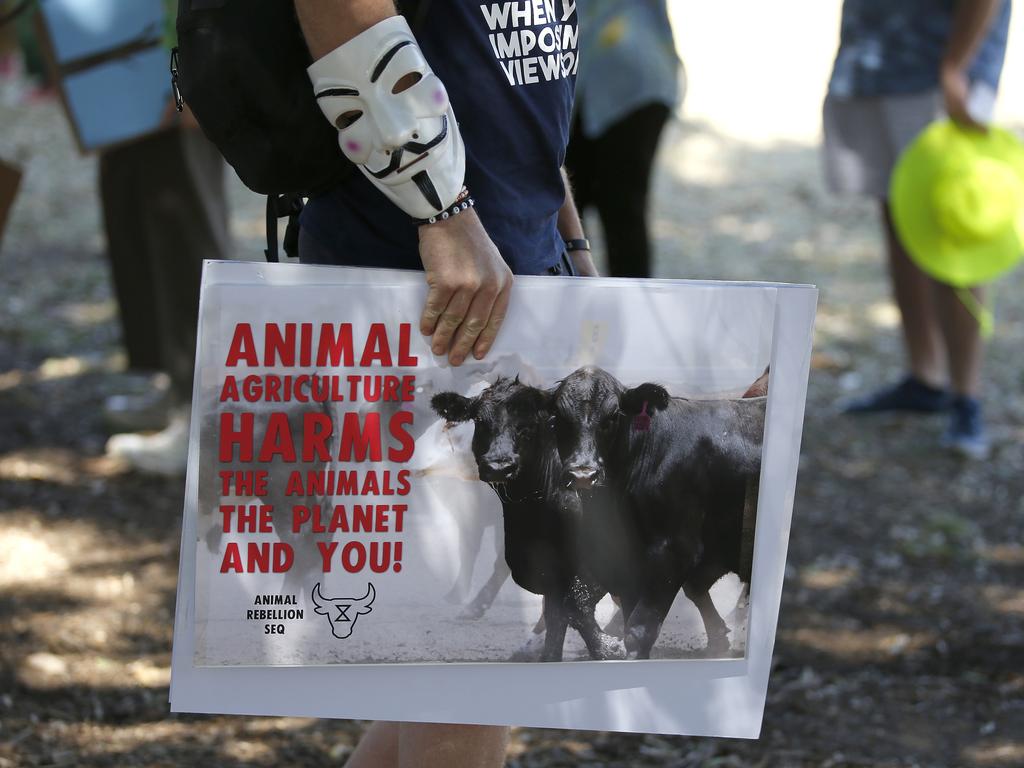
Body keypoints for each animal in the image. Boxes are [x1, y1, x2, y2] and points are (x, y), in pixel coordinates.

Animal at [428, 378, 618, 663]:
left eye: (528, 425)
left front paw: (607, 647)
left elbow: (573, 605)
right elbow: (557, 612)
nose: (498, 466)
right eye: (480, 420)